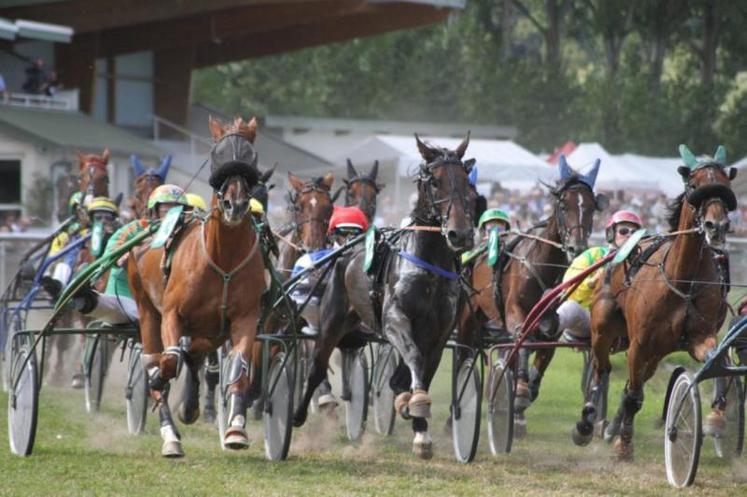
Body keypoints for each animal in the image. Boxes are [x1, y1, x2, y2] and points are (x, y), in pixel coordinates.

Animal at [128, 116, 265, 457]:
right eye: (218, 155)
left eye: (250, 157)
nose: (235, 204)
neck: (223, 258)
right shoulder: (172, 314)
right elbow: (169, 361)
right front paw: (159, 387)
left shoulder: (245, 318)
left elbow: (239, 366)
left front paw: (236, 428)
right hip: (146, 309)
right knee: (161, 357)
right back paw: (170, 433)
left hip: (210, 330)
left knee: (197, 356)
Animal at [293, 134, 476, 459]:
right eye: (435, 181)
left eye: (466, 181)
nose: (461, 234)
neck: (427, 268)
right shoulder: (394, 320)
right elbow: (413, 356)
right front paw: (417, 412)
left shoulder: (439, 334)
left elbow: (422, 370)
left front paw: (416, 421)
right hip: (332, 320)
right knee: (315, 367)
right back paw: (300, 414)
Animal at [573, 145, 736, 460]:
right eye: (694, 186)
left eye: (725, 186)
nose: (716, 226)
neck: (682, 280)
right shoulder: (640, 342)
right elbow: (633, 396)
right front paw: (624, 444)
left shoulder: (699, 337)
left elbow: (716, 359)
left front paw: (717, 417)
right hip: (603, 328)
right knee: (601, 368)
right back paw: (587, 423)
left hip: (658, 350)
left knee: (631, 380)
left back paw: (611, 428)